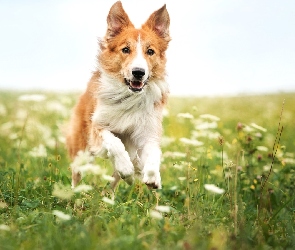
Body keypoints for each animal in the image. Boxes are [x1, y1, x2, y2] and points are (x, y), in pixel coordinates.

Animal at [65, 1, 170, 189]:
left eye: (150, 51)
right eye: (126, 49)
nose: (138, 72)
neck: (129, 97)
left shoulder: (147, 132)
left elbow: (153, 153)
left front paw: (152, 177)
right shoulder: (97, 126)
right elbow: (115, 143)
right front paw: (126, 167)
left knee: (113, 183)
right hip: (81, 149)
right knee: (77, 174)